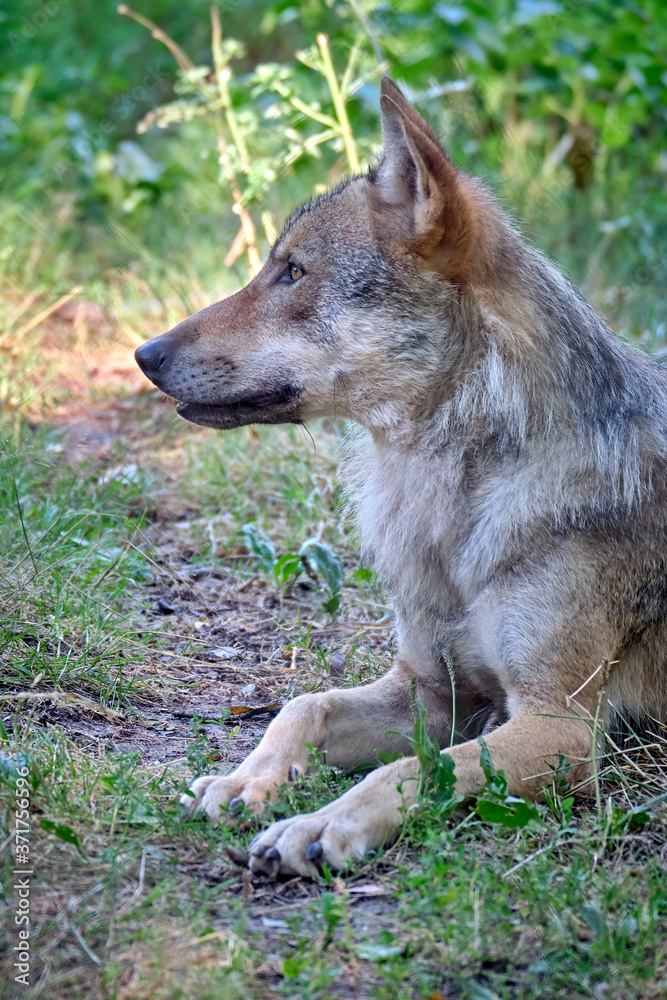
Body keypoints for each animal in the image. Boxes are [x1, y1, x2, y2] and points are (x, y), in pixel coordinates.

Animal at [135, 77, 667, 878]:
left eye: (293, 272)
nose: (145, 353)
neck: (449, 496)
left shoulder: (560, 728)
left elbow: (412, 767)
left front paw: (317, 825)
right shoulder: (430, 690)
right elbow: (306, 702)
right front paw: (244, 780)